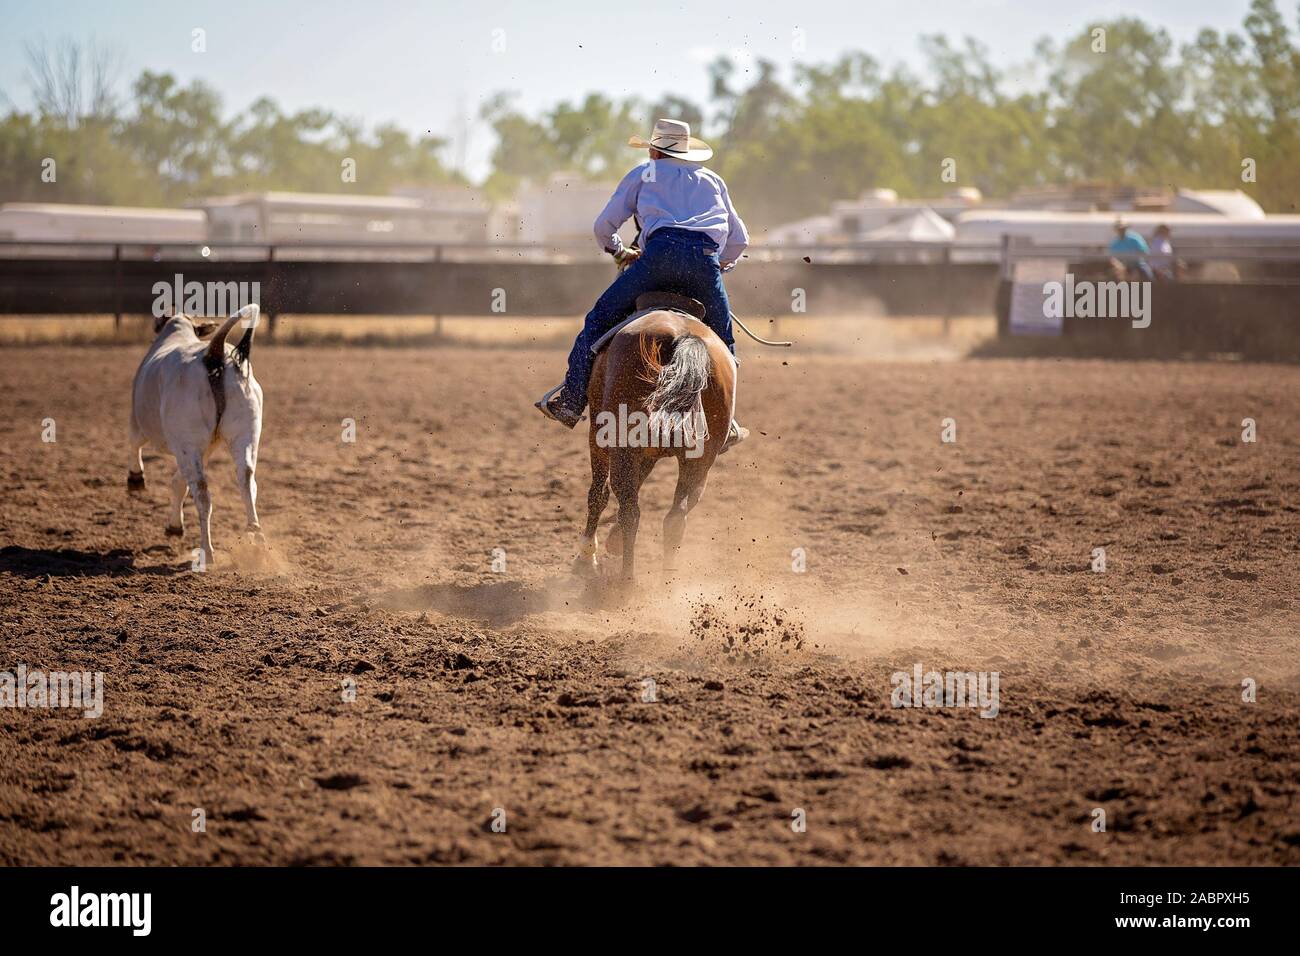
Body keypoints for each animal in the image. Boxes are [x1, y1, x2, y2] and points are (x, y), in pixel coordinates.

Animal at [574, 295, 738, 587]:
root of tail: (682, 337)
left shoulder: (600, 437)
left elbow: (599, 495)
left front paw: (586, 556)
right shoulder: (649, 455)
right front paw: (612, 540)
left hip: (620, 445)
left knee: (631, 512)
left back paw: (626, 580)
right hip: (700, 461)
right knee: (675, 517)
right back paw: (666, 587)